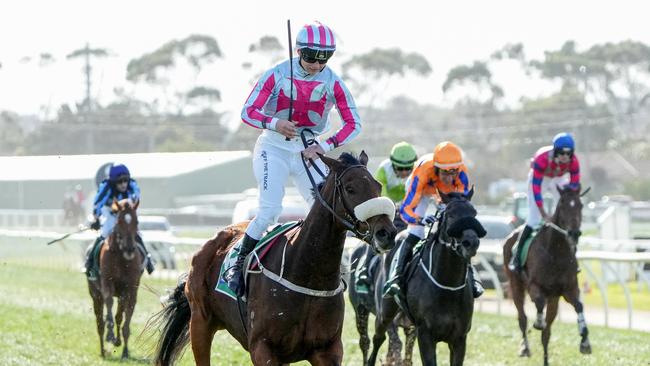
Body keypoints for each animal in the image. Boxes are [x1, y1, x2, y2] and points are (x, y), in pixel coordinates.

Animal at [87, 199, 142, 358]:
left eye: (136, 221)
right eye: (119, 221)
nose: (130, 248)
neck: (122, 257)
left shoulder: (130, 288)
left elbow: (126, 317)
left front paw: (125, 351)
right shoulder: (107, 283)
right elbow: (109, 302)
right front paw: (110, 335)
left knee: (118, 316)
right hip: (95, 295)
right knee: (100, 322)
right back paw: (103, 350)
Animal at [153, 150, 394, 364]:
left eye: (378, 186)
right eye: (351, 188)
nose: (387, 233)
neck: (307, 272)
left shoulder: (327, 349)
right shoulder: (263, 348)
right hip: (200, 324)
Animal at [364, 192, 480, 366]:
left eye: (474, 214)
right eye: (451, 214)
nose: (471, 242)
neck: (448, 286)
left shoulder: (460, 338)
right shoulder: (425, 335)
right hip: (385, 311)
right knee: (379, 337)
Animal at [504, 186, 588, 366]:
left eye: (581, 205)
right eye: (562, 204)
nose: (574, 232)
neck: (556, 251)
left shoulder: (569, 289)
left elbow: (579, 306)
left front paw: (585, 341)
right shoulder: (534, 286)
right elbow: (539, 304)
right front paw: (538, 321)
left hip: (554, 298)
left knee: (546, 333)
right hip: (516, 284)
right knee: (522, 318)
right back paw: (525, 348)